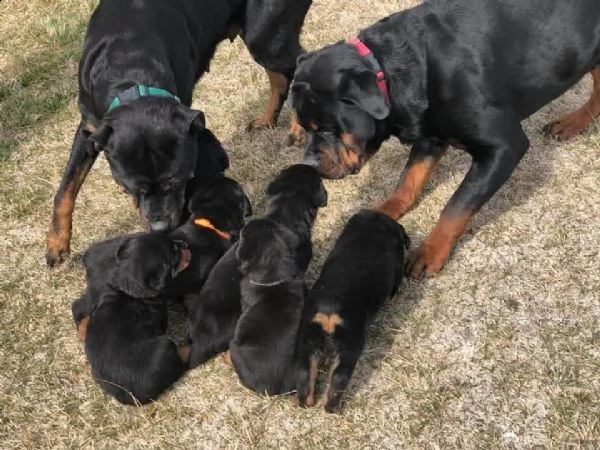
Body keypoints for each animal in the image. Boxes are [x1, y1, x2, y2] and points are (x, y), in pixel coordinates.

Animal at [44, 0, 312, 268]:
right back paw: (266, 120)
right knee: (280, 77)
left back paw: (299, 126)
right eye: (134, 188)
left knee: (300, 63)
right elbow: (66, 189)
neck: (132, 75)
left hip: (265, 36)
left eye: (177, 181)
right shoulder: (90, 129)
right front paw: (56, 246)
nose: (160, 227)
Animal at [292, 0, 600, 278]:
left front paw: (430, 252)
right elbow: (409, 180)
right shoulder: (429, 136)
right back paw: (571, 124)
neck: (389, 74)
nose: (309, 163)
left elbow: (456, 206)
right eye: (304, 127)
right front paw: (383, 211)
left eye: (327, 129)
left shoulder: (504, 147)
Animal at [296, 209, 410, 414]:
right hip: (349, 350)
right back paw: (334, 408)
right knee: (338, 380)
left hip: (306, 344)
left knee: (305, 374)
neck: (374, 229)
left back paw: (304, 402)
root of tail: (329, 315)